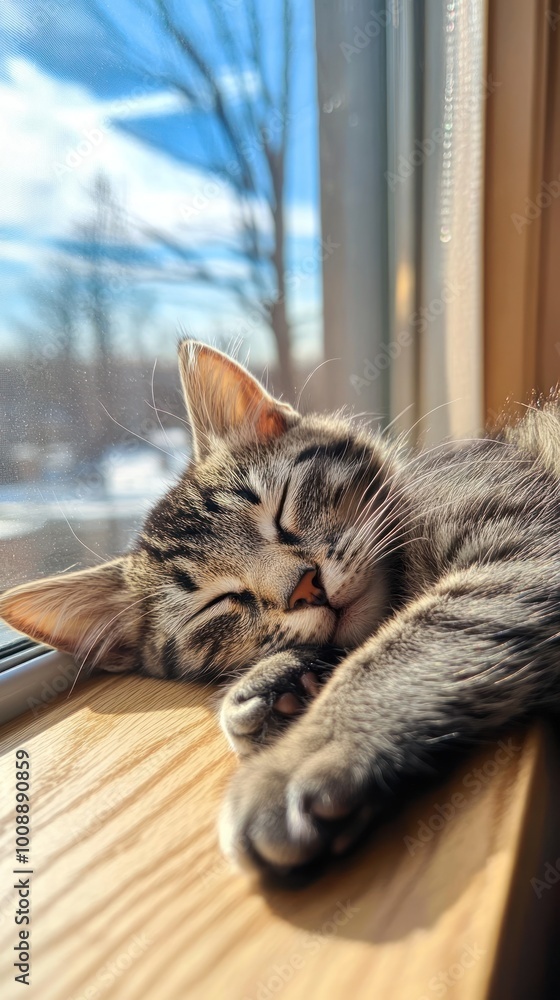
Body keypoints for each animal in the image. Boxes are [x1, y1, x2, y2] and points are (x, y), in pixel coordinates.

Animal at [3, 342, 560, 876]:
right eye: (220, 602)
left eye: (281, 507)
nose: (305, 588)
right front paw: (279, 680)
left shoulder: (523, 553)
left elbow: (407, 645)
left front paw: (301, 757)